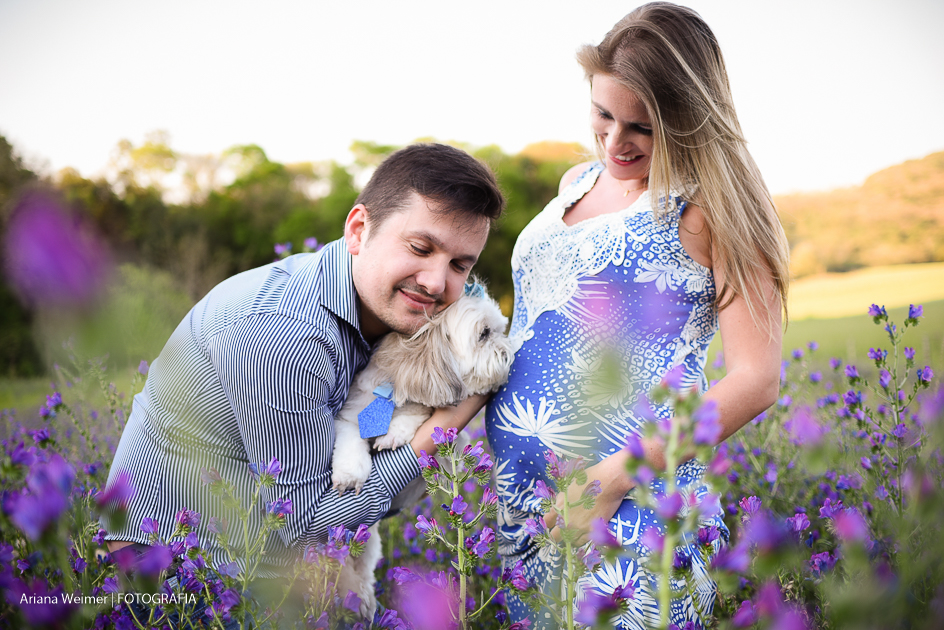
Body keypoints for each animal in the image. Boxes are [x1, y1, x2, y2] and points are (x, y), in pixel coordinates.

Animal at [330, 285, 513, 618]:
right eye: (484, 334)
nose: (509, 347)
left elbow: (420, 412)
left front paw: (393, 433)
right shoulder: (350, 416)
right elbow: (350, 444)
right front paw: (350, 474)